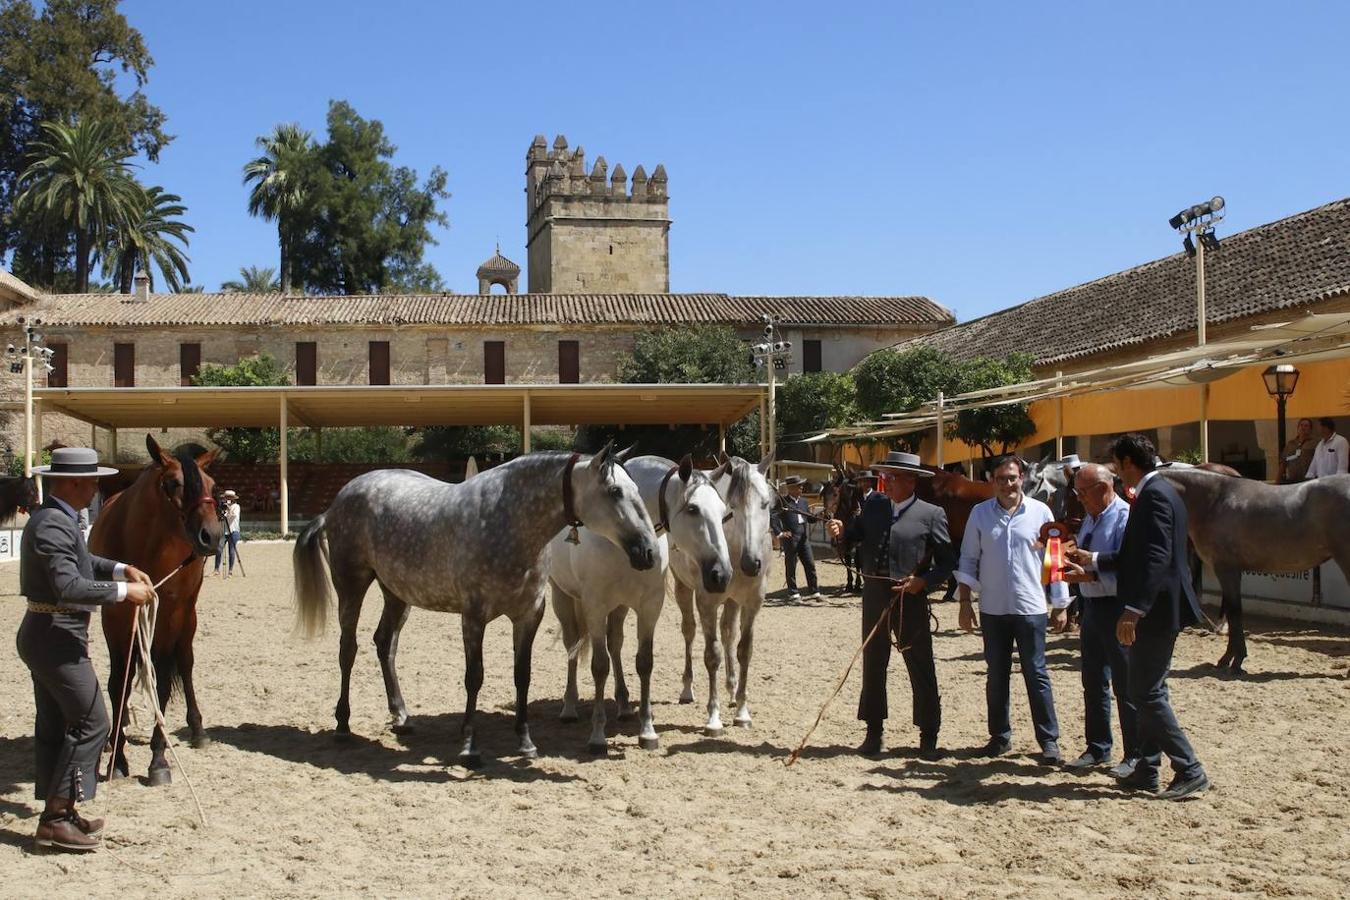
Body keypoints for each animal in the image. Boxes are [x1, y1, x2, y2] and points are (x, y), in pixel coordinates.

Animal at [95, 434, 222, 782]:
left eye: (212, 484)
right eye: (173, 483)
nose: (212, 536)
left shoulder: (170, 616)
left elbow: (163, 682)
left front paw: (158, 760)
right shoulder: (114, 617)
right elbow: (118, 683)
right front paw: (117, 757)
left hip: (187, 619)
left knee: (186, 664)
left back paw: (198, 730)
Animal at [292, 442, 661, 766]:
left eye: (635, 489)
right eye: (614, 491)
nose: (648, 551)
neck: (509, 521)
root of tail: (337, 502)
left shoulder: (528, 615)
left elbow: (522, 676)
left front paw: (525, 742)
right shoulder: (473, 616)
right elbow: (474, 677)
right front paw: (469, 748)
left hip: (396, 593)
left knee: (385, 644)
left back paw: (402, 717)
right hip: (351, 585)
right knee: (348, 649)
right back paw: (342, 726)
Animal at [548, 453, 734, 755]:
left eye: (722, 512)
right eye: (693, 508)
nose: (722, 575)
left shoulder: (649, 607)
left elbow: (643, 662)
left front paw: (647, 731)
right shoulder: (595, 608)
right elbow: (599, 666)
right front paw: (597, 736)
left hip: (620, 608)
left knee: (615, 644)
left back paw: (624, 705)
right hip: (562, 597)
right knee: (572, 645)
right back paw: (569, 707)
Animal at [672, 453, 772, 734]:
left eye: (765, 504)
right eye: (732, 508)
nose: (752, 563)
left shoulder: (752, 603)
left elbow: (744, 650)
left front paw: (742, 711)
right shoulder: (706, 602)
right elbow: (712, 655)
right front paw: (713, 718)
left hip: (732, 601)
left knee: (728, 633)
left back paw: (732, 689)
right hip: (682, 588)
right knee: (689, 631)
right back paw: (687, 689)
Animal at [1155, 469, 1350, 671]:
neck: (1213, 501)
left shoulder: (1227, 569)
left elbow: (1234, 612)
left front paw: (1234, 660)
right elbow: (1232, 611)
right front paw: (1229, 658)